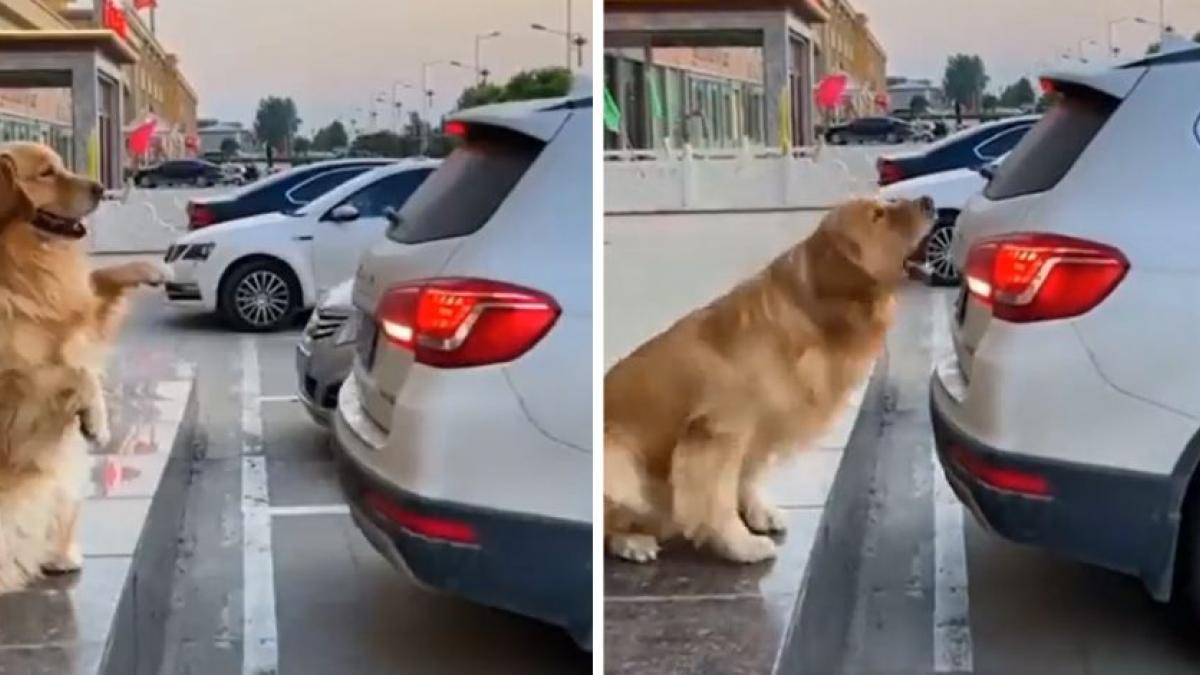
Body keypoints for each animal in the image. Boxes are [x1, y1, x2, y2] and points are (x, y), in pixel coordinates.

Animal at [0, 141, 166, 588]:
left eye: (60, 164)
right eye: (45, 173)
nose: (99, 187)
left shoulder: (72, 321)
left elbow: (97, 286)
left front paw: (147, 267)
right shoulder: (12, 388)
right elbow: (71, 373)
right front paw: (97, 419)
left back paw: (61, 555)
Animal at [604, 194, 931, 562]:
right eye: (878, 215)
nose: (930, 201)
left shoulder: (760, 427)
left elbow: (748, 476)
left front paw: (759, 513)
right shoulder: (717, 434)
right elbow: (716, 500)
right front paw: (740, 544)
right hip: (617, 461)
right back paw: (631, 541)